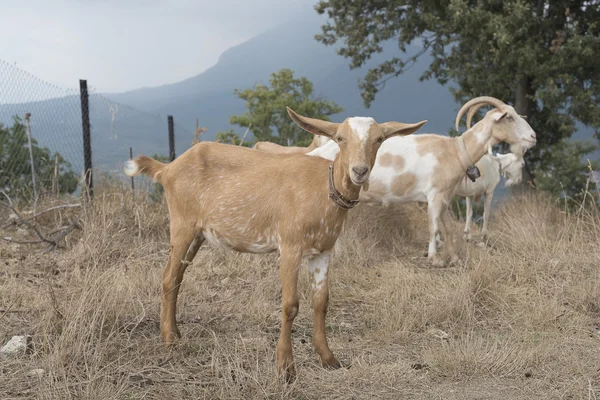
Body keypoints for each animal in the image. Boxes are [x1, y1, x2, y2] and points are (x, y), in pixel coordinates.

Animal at [122, 107, 426, 382]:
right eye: (340, 138)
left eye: (379, 139)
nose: (359, 171)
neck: (322, 189)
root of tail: (168, 168)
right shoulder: (290, 244)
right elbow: (290, 304)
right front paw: (285, 367)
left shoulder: (323, 250)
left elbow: (322, 301)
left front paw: (328, 358)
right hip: (182, 223)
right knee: (167, 276)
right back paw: (169, 340)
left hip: (198, 233)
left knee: (177, 278)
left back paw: (175, 332)